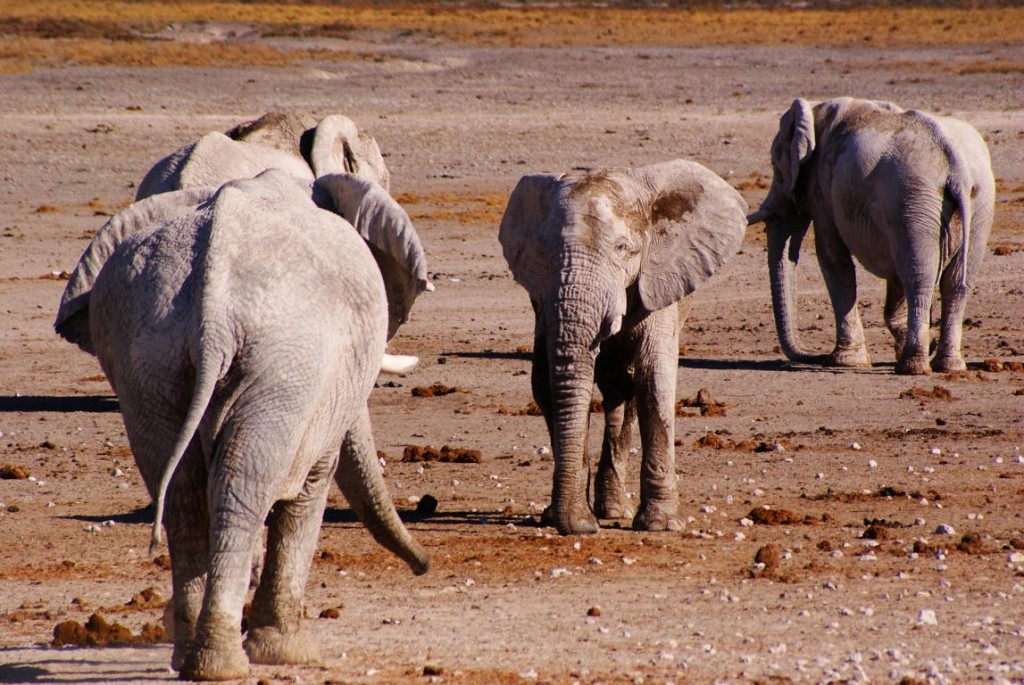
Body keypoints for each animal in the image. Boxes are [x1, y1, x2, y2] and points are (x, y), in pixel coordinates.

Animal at [54, 169, 430, 679]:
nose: (424, 566)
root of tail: (212, 317)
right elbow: (310, 487)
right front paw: (291, 654)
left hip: (149, 359)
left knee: (185, 495)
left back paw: (192, 657)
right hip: (284, 362)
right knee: (241, 487)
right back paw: (225, 664)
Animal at [499, 158, 749, 532]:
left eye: (623, 248)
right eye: (545, 253)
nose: (581, 526)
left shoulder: (658, 281)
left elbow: (653, 382)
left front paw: (659, 524)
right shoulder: (542, 301)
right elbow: (544, 385)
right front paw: (567, 517)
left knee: (627, 389)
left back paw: (614, 512)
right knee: (614, 390)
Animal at [749, 96, 995, 374]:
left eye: (775, 166)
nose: (816, 356)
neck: (816, 111)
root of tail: (957, 166)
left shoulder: (824, 186)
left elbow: (832, 258)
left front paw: (845, 361)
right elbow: (893, 275)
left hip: (914, 199)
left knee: (918, 277)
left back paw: (912, 367)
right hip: (976, 203)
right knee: (956, 283)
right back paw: (948, 366)